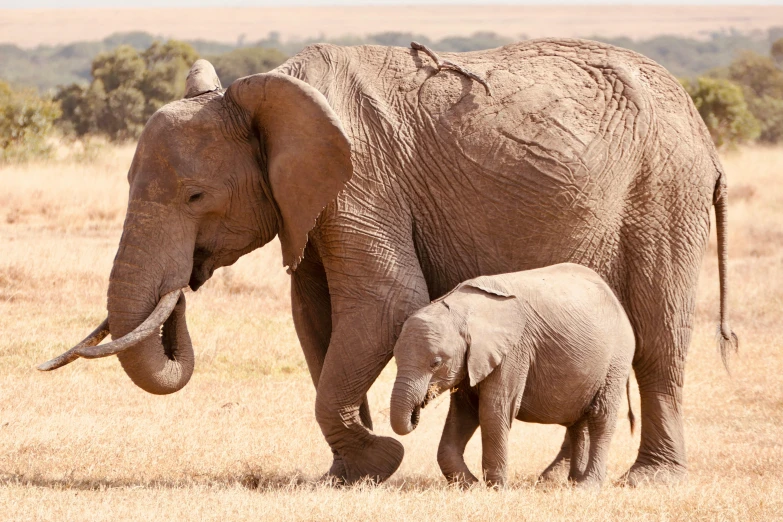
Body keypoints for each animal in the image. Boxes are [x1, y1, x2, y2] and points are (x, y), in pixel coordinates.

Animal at [390, 264, 636, 488]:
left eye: (436, 363)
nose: (416, 411)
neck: (463, 309)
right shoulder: (473, 360)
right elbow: (463, 413)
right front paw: (470, 485)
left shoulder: (514, 351)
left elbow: (494, 409)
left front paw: (495, 489)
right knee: (578, 423)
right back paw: (573, 482)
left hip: (617, 358)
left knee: (601, 417)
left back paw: (587, 486)